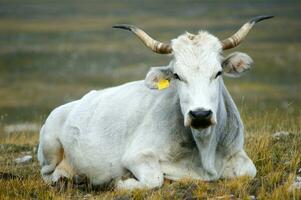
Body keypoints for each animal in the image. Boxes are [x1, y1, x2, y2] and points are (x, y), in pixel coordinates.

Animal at [37, 15, 272, 189]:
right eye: (177, 75)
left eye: (218, 72)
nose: (200, 115)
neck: (205, 151)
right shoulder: (136, 156)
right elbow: (154, 179)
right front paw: (121, 182)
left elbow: (249, 171)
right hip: (50, 146)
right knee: (47, 174)